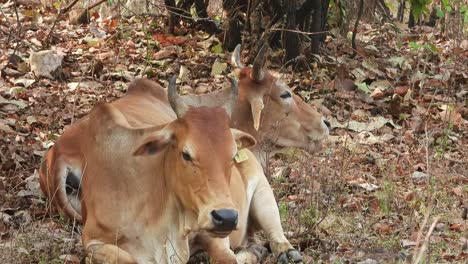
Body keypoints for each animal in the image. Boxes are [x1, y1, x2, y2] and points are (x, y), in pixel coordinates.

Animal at [59, 77, 300, 262]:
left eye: (232, 156)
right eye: (186, 154)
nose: (227, 217)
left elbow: (226, 257)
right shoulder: (93, 241)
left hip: (263, 193)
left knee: (276, 233)